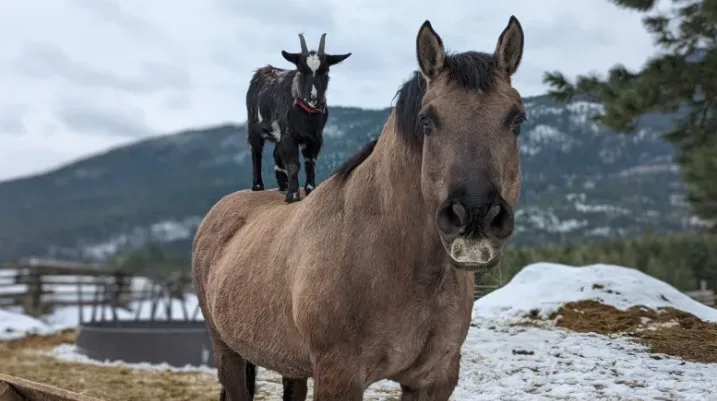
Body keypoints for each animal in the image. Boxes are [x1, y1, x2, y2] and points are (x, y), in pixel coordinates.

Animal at [245, 33, 352, 203]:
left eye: (326, 72)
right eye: (301, 71)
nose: (313, 98)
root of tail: (262, 70)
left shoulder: (315, 137)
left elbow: (310, 162)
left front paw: (310, 190)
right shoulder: (289, 135)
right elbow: (293, 163)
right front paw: (293, 196)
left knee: (276, 153)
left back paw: (283, 184)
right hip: (253, 126)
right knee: (256, 152)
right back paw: (258, 186)